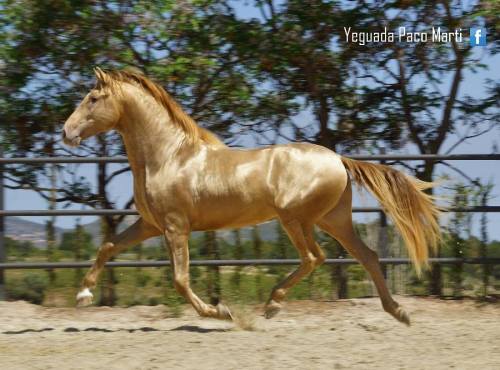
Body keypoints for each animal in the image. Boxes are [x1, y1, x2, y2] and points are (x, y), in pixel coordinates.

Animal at [63, 68, 442, 324]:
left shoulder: (175, 228)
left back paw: (273, 304)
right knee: (368, 256)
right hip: (333, 220)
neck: (168, 156)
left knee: (314, 257)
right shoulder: (150, 225)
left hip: (296, 219)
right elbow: (107, 246)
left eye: (93, 99)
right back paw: (398, 312)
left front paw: (219, 312)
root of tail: (338, 159)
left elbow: (180, 280)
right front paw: (83, 295)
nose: (66, 132)